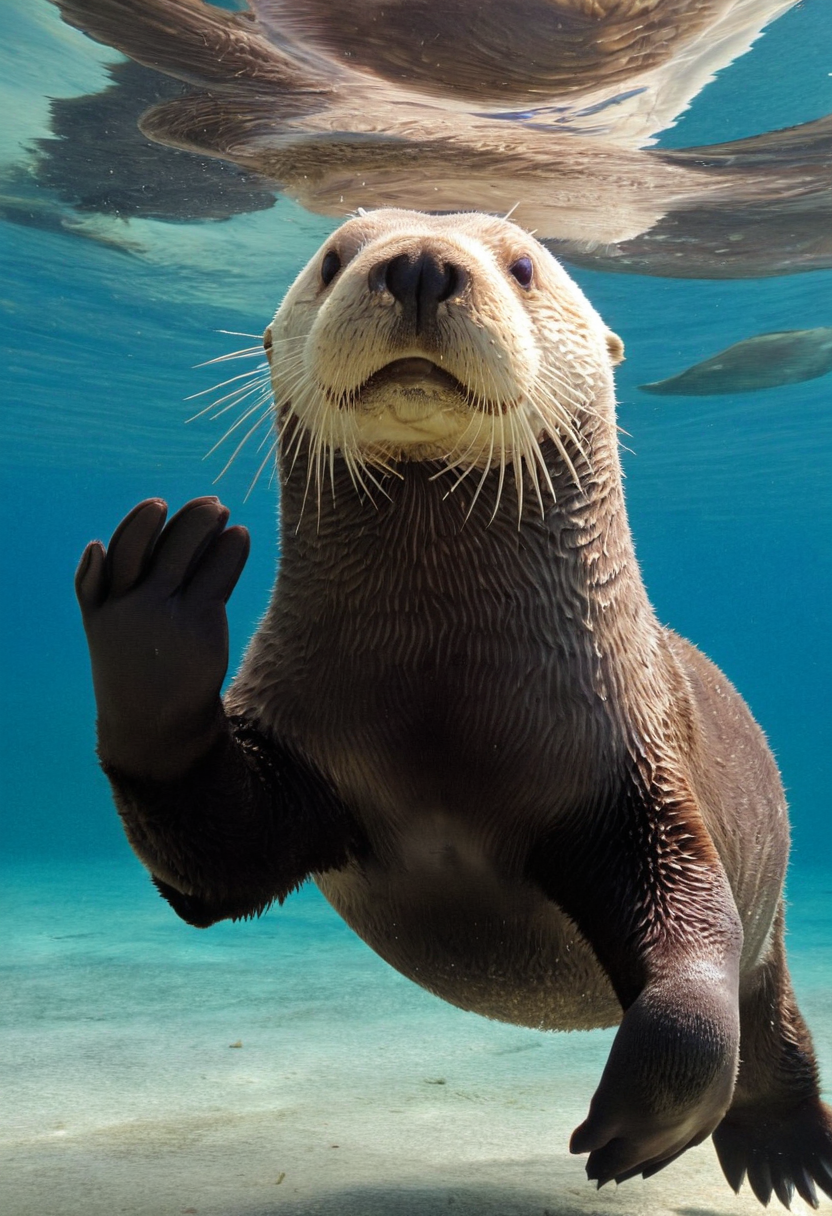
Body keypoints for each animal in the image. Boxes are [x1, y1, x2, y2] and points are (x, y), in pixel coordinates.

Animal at [76, 209, 832, 1208]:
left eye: (524, 265)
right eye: (334, 255)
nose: (421, 263)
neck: (443, 713)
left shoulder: (635, 766)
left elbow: (696, 943)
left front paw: (639, 1131)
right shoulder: (309, 756)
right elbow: (212, 859)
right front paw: (155, 620)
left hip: (772, 927)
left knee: (761, 999)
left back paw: (786, 1149)